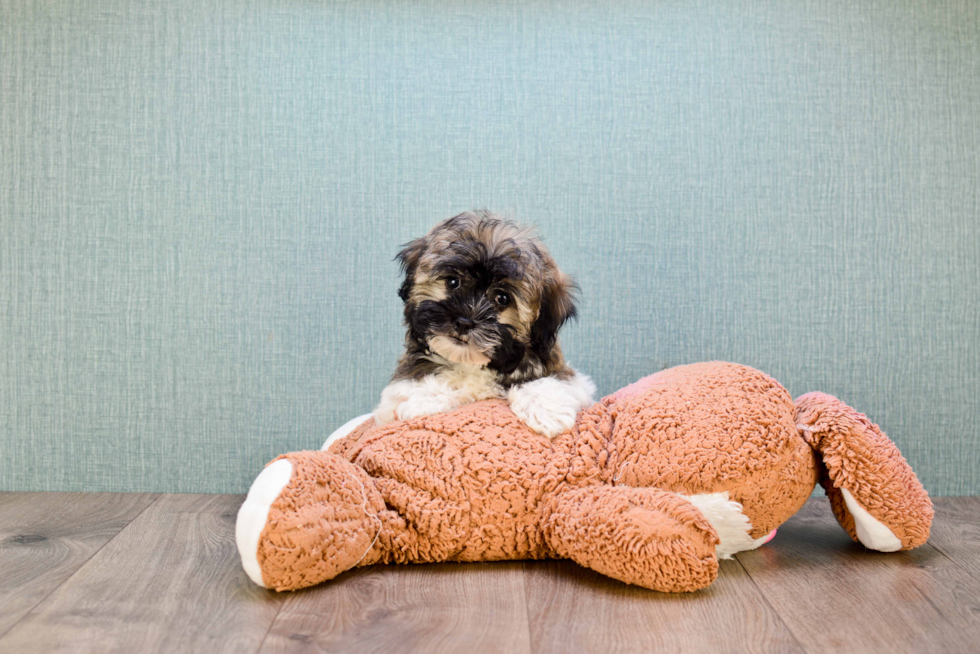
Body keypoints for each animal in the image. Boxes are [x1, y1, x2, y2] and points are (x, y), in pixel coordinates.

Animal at [372, 213, 592, 440]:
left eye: (502, 298)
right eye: (453, 282)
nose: (464, 322)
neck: (470, 363)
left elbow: (550, 382)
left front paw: (546, 410)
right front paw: (423, 399)